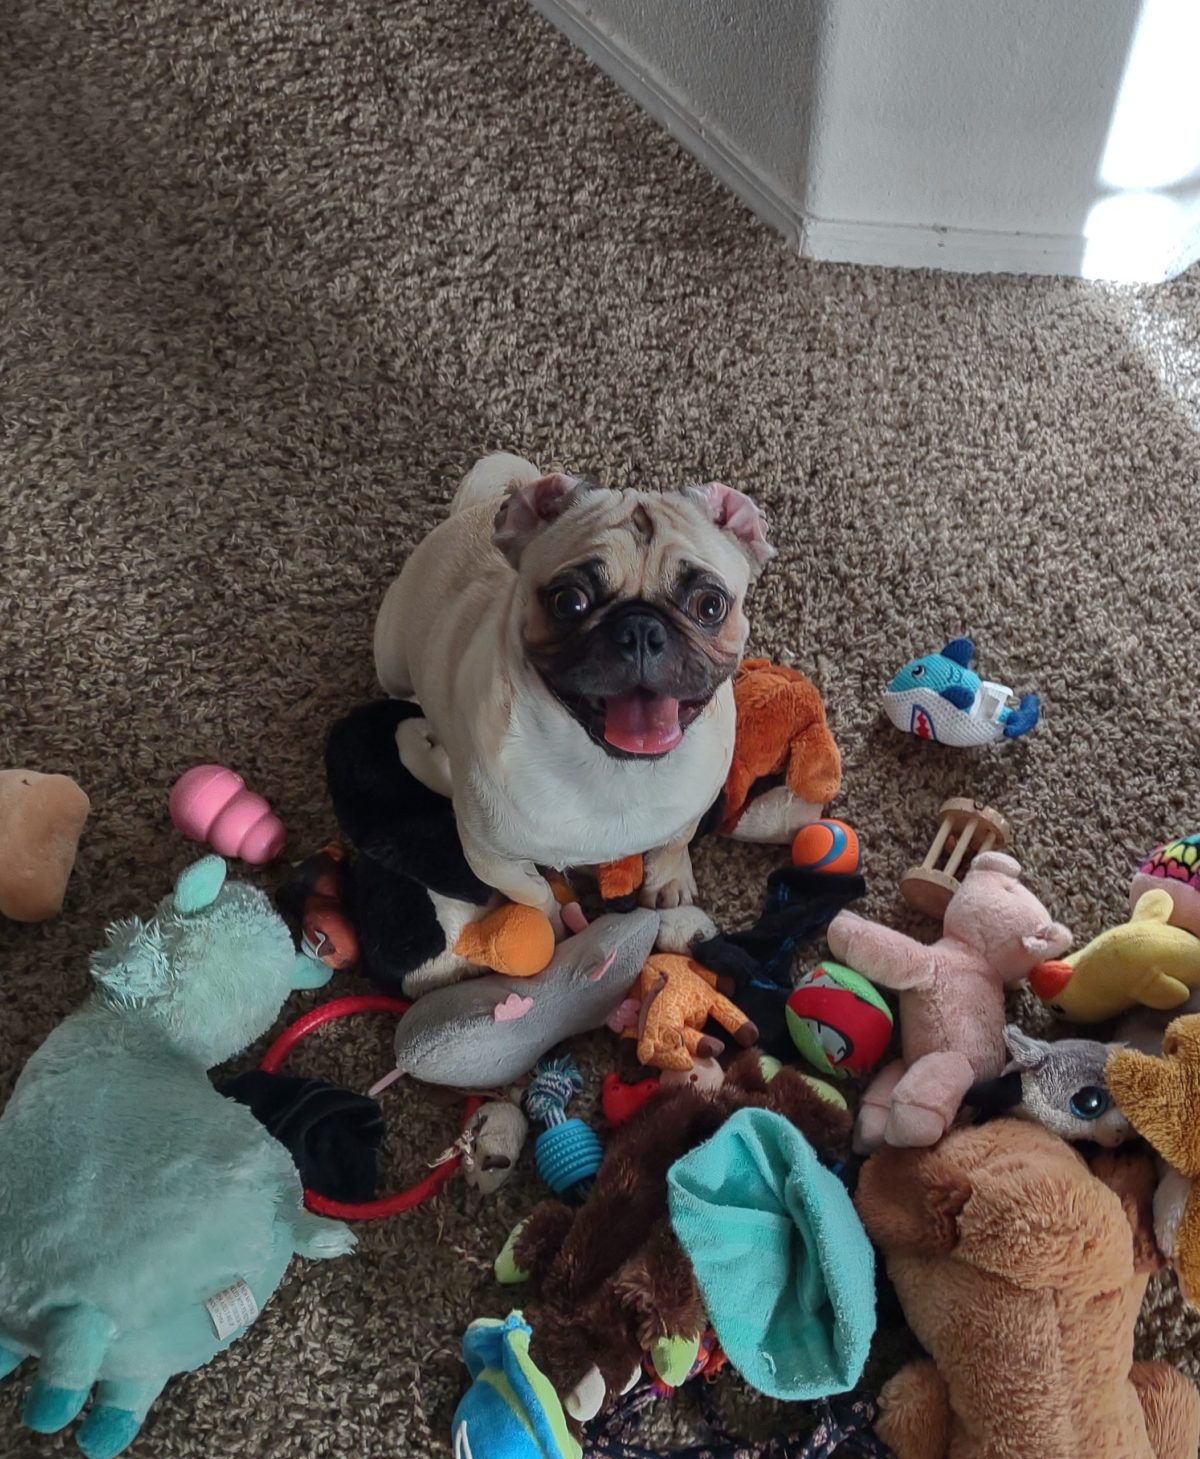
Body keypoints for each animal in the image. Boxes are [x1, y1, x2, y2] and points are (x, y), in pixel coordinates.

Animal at [373, 453, 773, 920]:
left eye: (710, 606)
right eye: (568, 602)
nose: (640, 629)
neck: (614, 771)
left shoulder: (692, 809)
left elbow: (674, 843)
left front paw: (669, 882)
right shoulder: (490, 858)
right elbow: (534, 894)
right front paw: (556, 923)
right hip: (391, 658)